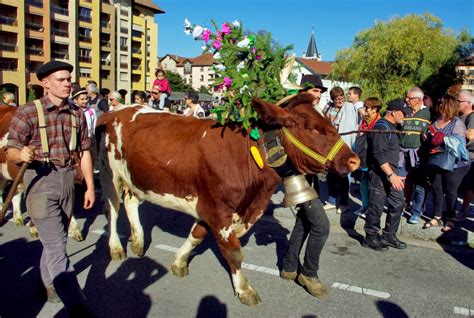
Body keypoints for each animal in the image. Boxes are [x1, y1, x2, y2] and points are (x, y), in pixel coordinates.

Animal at [97, 95, 360, 306]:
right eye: (313, 129)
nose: (354, 160)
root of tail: (116, 110)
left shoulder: (211, 208)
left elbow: (197, 235)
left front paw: (179, 262)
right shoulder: (218, 211)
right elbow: (234, 252)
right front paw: (245, 289)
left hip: (135, 179)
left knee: (130, 202)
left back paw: (138, 241)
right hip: (109, 174)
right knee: (112, 209)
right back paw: (116, 248)